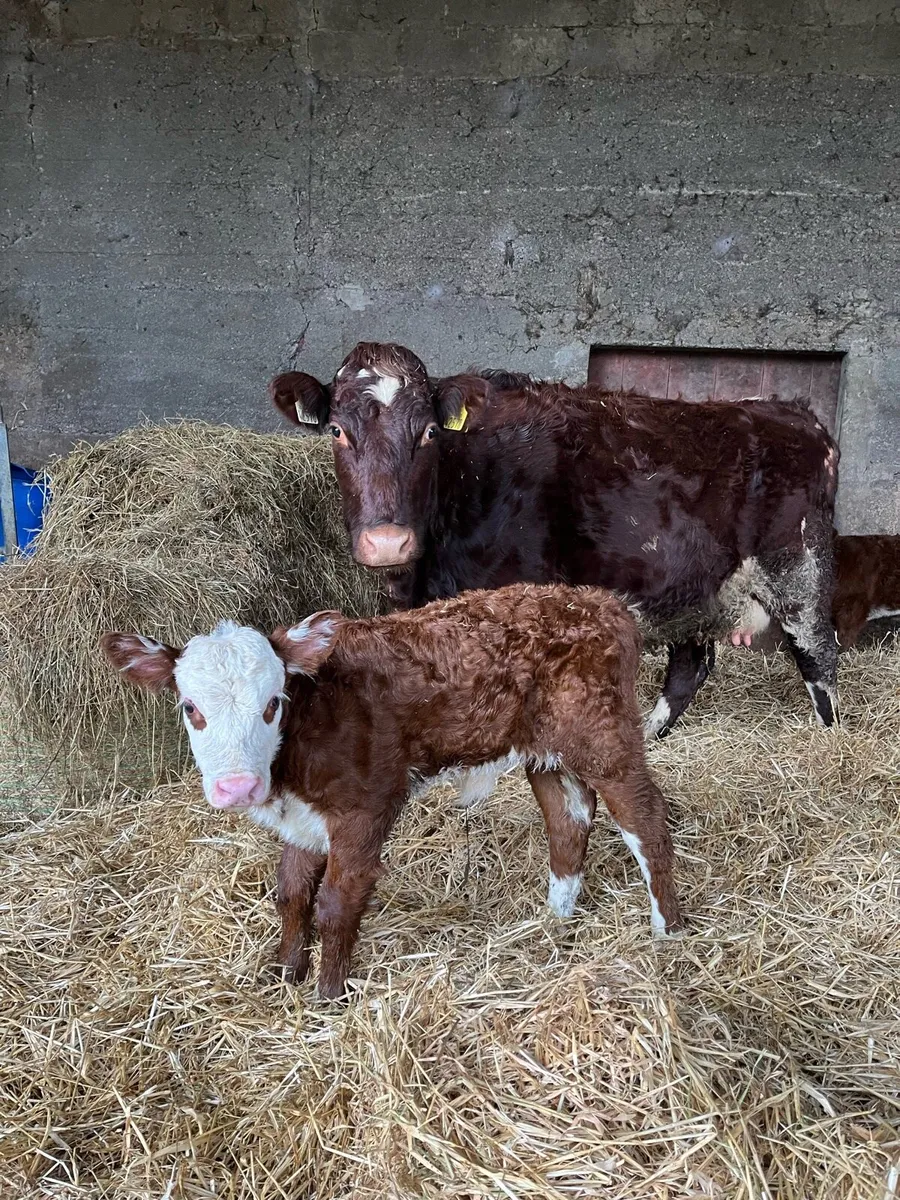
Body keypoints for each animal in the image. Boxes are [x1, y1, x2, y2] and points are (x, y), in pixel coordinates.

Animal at [101, 583, 683, 999]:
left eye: (273, 703)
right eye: (190, 707)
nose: (237, 786)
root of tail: (605, 602)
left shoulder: (365, 807)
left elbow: (337, 903)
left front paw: (328, 996)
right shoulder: (304, 819)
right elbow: (291, 892)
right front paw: (285, 973)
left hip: (605, 739)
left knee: (648, 821)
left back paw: (668, 933)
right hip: (545, 751)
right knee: (569, 819)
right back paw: (555, 920)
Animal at [269, 341, 840, 748]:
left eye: (430, 431)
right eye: (337, 431)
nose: (387, 541)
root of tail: (794, 414)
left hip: (799, 568)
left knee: (819, 657)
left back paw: (830, 740)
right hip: (694, 589)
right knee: (689, 668)